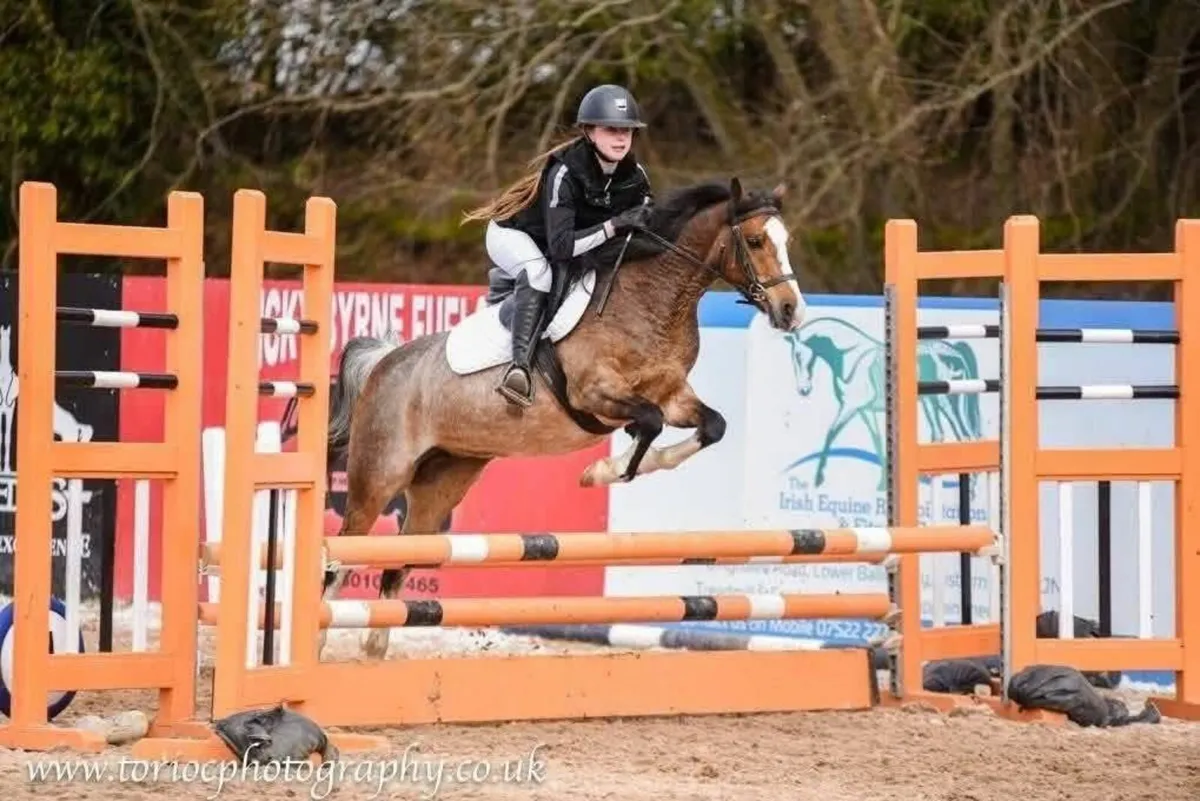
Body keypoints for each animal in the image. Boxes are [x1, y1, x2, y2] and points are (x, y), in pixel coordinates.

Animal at [320, 177, 805, 659]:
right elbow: (648, 422)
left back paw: (374, 646)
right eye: (756, 241)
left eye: (787, 241)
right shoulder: (592, 393)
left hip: (443, 480)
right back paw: (321, 642)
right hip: (379, 475)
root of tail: (385, 361)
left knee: (399, 557)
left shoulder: (673, 395)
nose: (791, 311)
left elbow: (710, 426)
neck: (653, 301)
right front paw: (602, 471)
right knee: (340, 554)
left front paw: (614, 467)